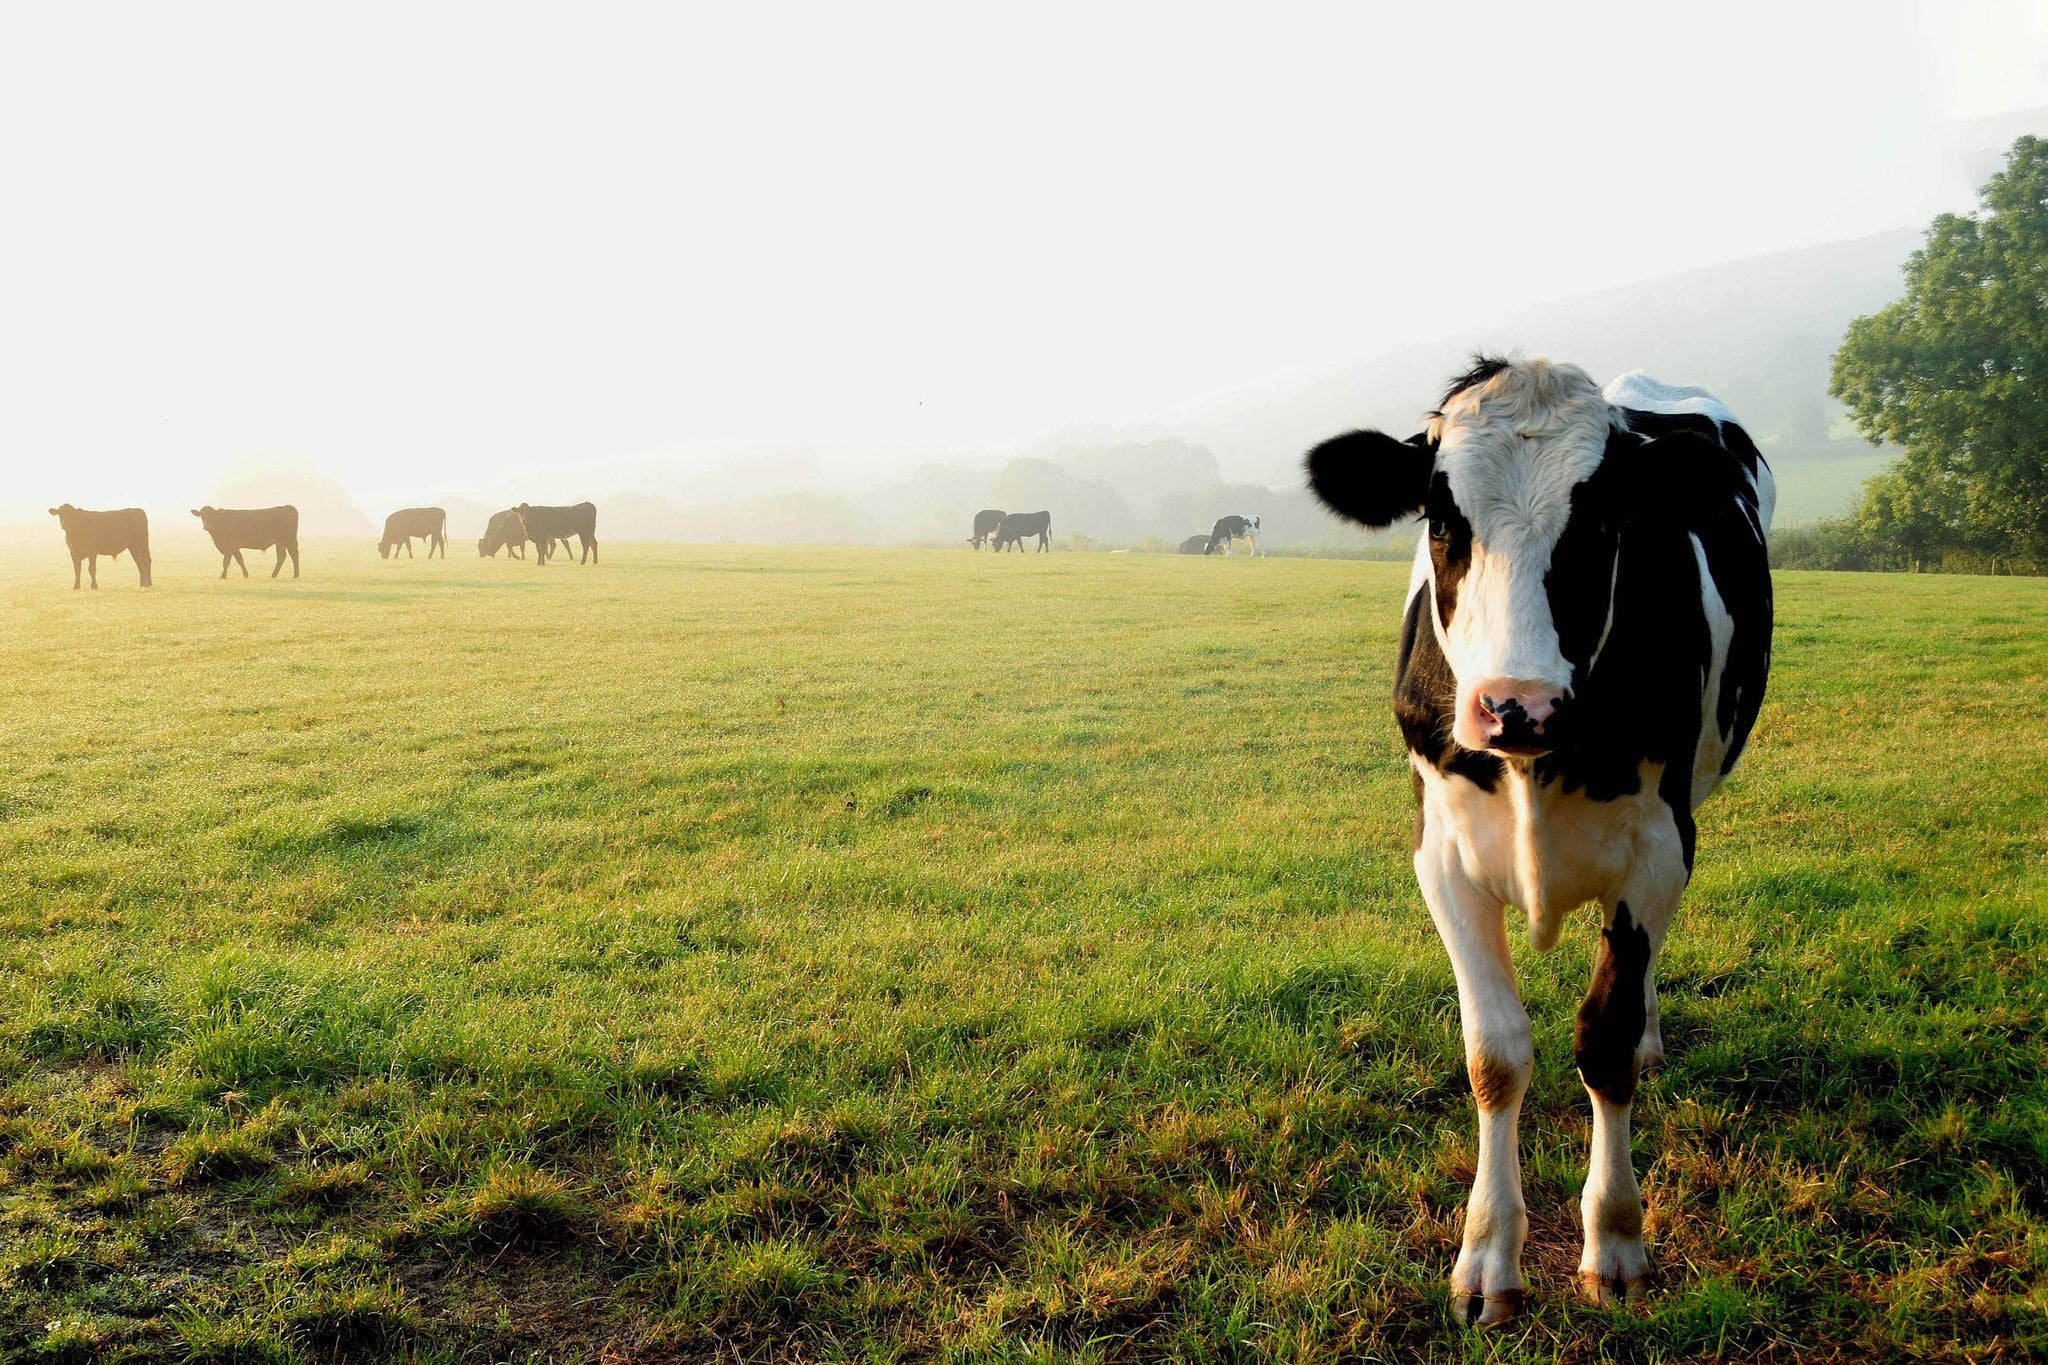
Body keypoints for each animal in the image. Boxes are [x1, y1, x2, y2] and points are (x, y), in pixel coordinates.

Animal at [1304, 357, 1773, 1325]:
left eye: (1604, 521)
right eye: (1442, 518)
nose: (1517, 704)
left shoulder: (1661, 845)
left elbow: (1606, 1036)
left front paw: (1617, 1240)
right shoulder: (1441, 853)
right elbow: (1495, 1054)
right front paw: (1487, 1254)